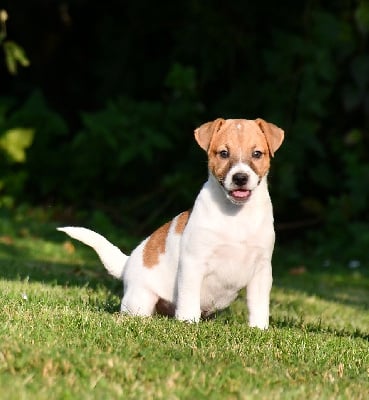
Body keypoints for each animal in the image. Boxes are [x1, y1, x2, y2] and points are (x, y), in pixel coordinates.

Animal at [57, 117, 284, 330]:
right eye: (223, 153)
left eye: (257, 154)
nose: (240, 178)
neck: (236, 215)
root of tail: (127, 262)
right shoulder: (193, 263)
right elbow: (189, 298)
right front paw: (188, 322)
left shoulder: (262, 270)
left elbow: (258, 304)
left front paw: (259, 328)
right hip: (141, 298)